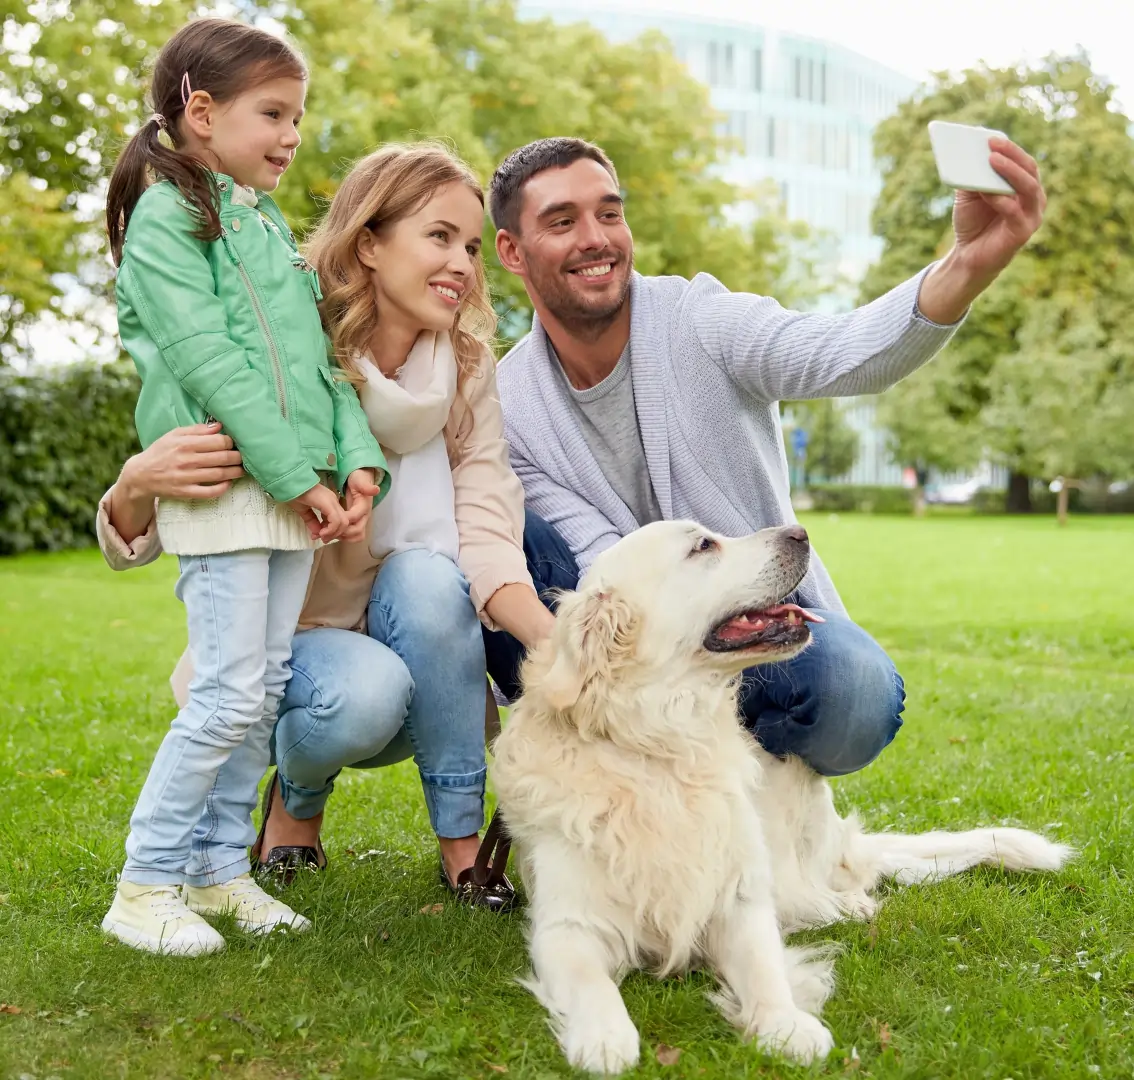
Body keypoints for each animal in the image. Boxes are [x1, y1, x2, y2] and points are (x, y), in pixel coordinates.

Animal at [492, 521, 1065, 1070]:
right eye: (703, 545)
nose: (800, 533)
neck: (662, 746)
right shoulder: (567, 925)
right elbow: (593, 986)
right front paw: (605, 1038)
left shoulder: (738, 897)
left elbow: (763, 968)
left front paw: (785, 1025)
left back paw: (849, 903)